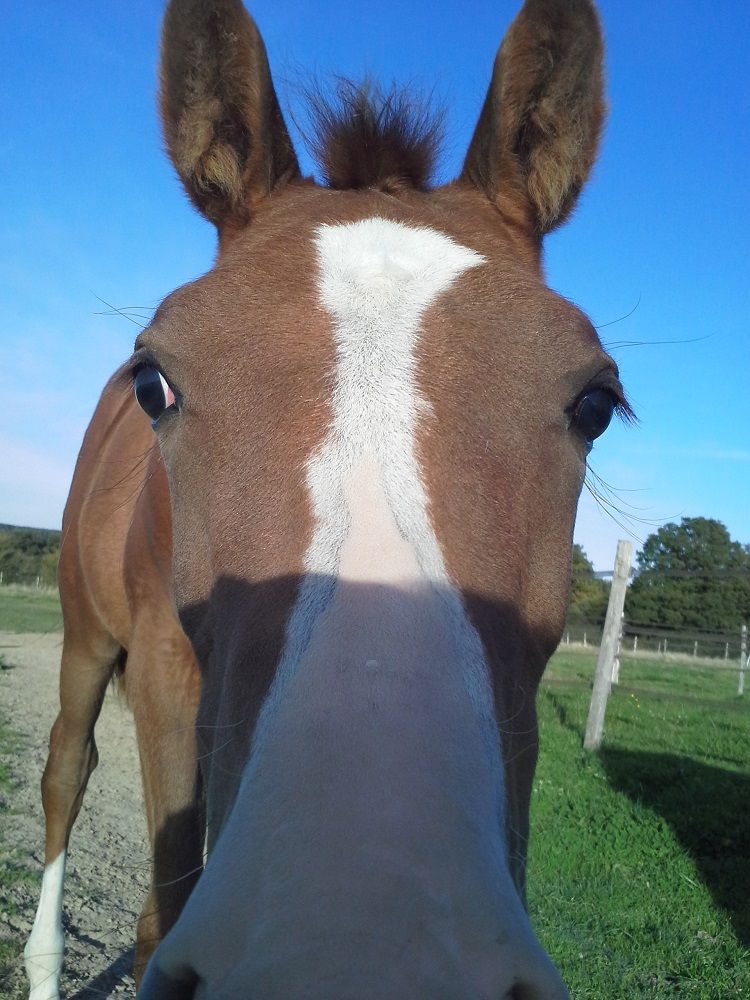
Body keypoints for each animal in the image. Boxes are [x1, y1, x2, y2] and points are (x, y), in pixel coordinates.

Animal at [25, 0, 628, 996]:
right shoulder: (160, 668)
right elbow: (160, 898)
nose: (346, 951)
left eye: (595, 403)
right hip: (87, 638)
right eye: (155, 384)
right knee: (65, 775)